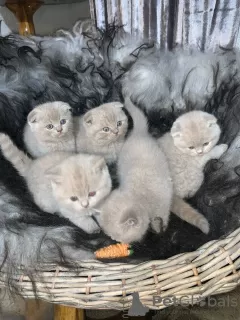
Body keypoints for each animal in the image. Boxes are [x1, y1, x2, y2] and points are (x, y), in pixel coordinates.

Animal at [96, 97, 173, 242]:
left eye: (116, 237)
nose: (113, 240)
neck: (141, 198)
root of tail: (138, 133)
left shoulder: (164, 203)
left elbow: (163, 216)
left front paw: (160, 227)